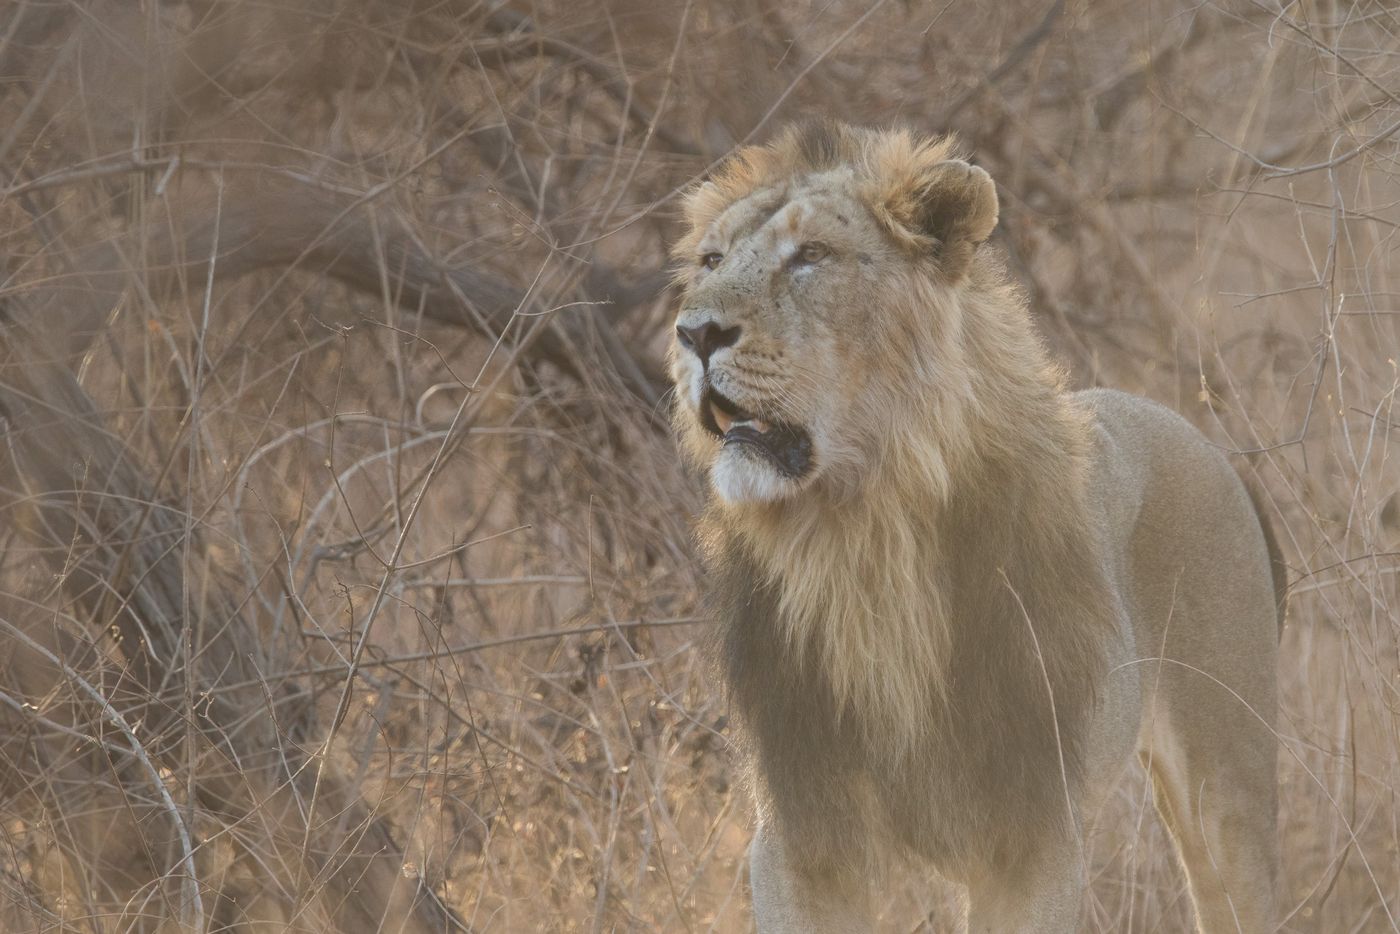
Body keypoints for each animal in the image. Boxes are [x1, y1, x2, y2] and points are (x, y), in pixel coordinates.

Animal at [666, 120, 1282, 929]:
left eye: (811, 257)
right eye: (710, 260)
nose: (694, 333)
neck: (861, 539)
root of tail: (1207, 444)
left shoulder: (1033, 830)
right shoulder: (803, 835)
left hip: (1230, 783)